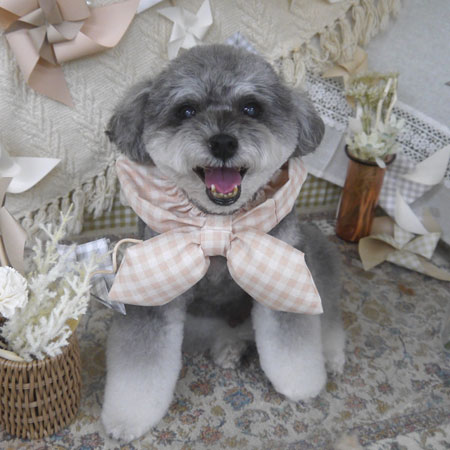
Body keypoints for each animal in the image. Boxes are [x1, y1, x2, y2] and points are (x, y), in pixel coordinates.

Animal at [101, 44, 345, 442]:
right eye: (186, 110)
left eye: (251, 108)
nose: (223, 142)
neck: (216, 225)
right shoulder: (153, 294)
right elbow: (141, 364)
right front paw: (127, 419)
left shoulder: (282, 278)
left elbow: (292, 343)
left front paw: (301, 385)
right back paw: (228, 348)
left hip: (312, 254)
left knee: (329, 312)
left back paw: (331, 354)